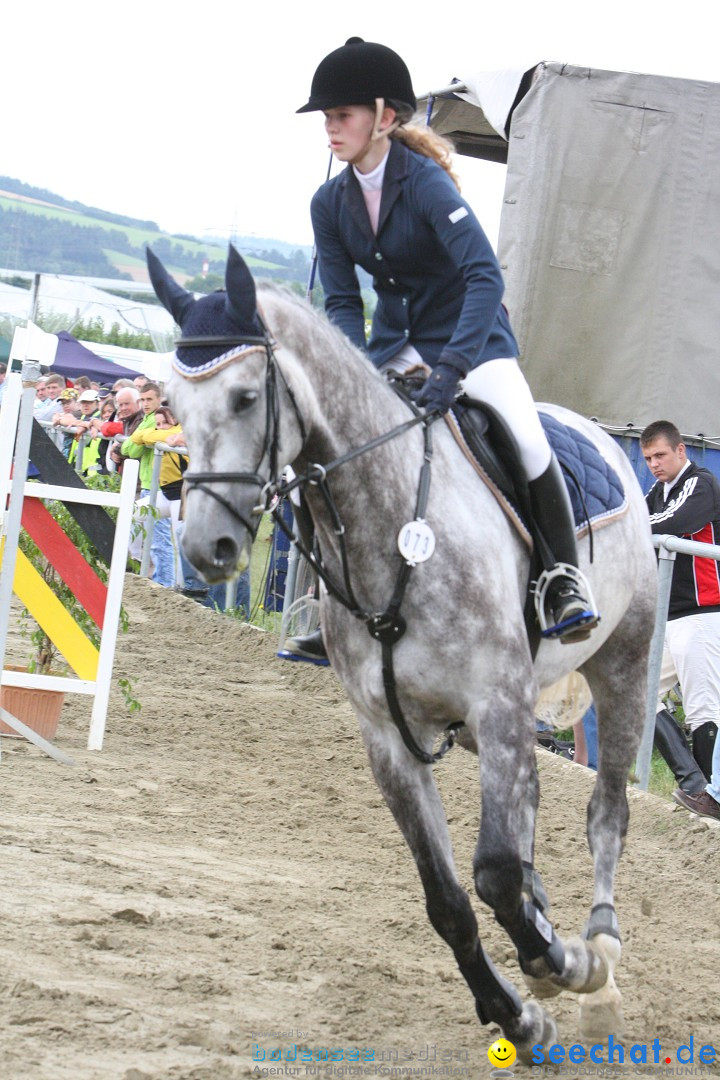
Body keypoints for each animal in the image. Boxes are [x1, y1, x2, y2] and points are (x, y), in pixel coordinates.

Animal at [151, 247, 660, 1062]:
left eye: (245, 396)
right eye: (170, 403)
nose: (208, 548)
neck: (387, 522)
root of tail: (607, 436)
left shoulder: (496, 699)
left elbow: (492, 872)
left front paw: (561, 964)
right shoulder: (391, 737)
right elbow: (449, 899)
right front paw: (517, 1014)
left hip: (622, 663)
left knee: (605, 810)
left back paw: (598, 958)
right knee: (527, 805)